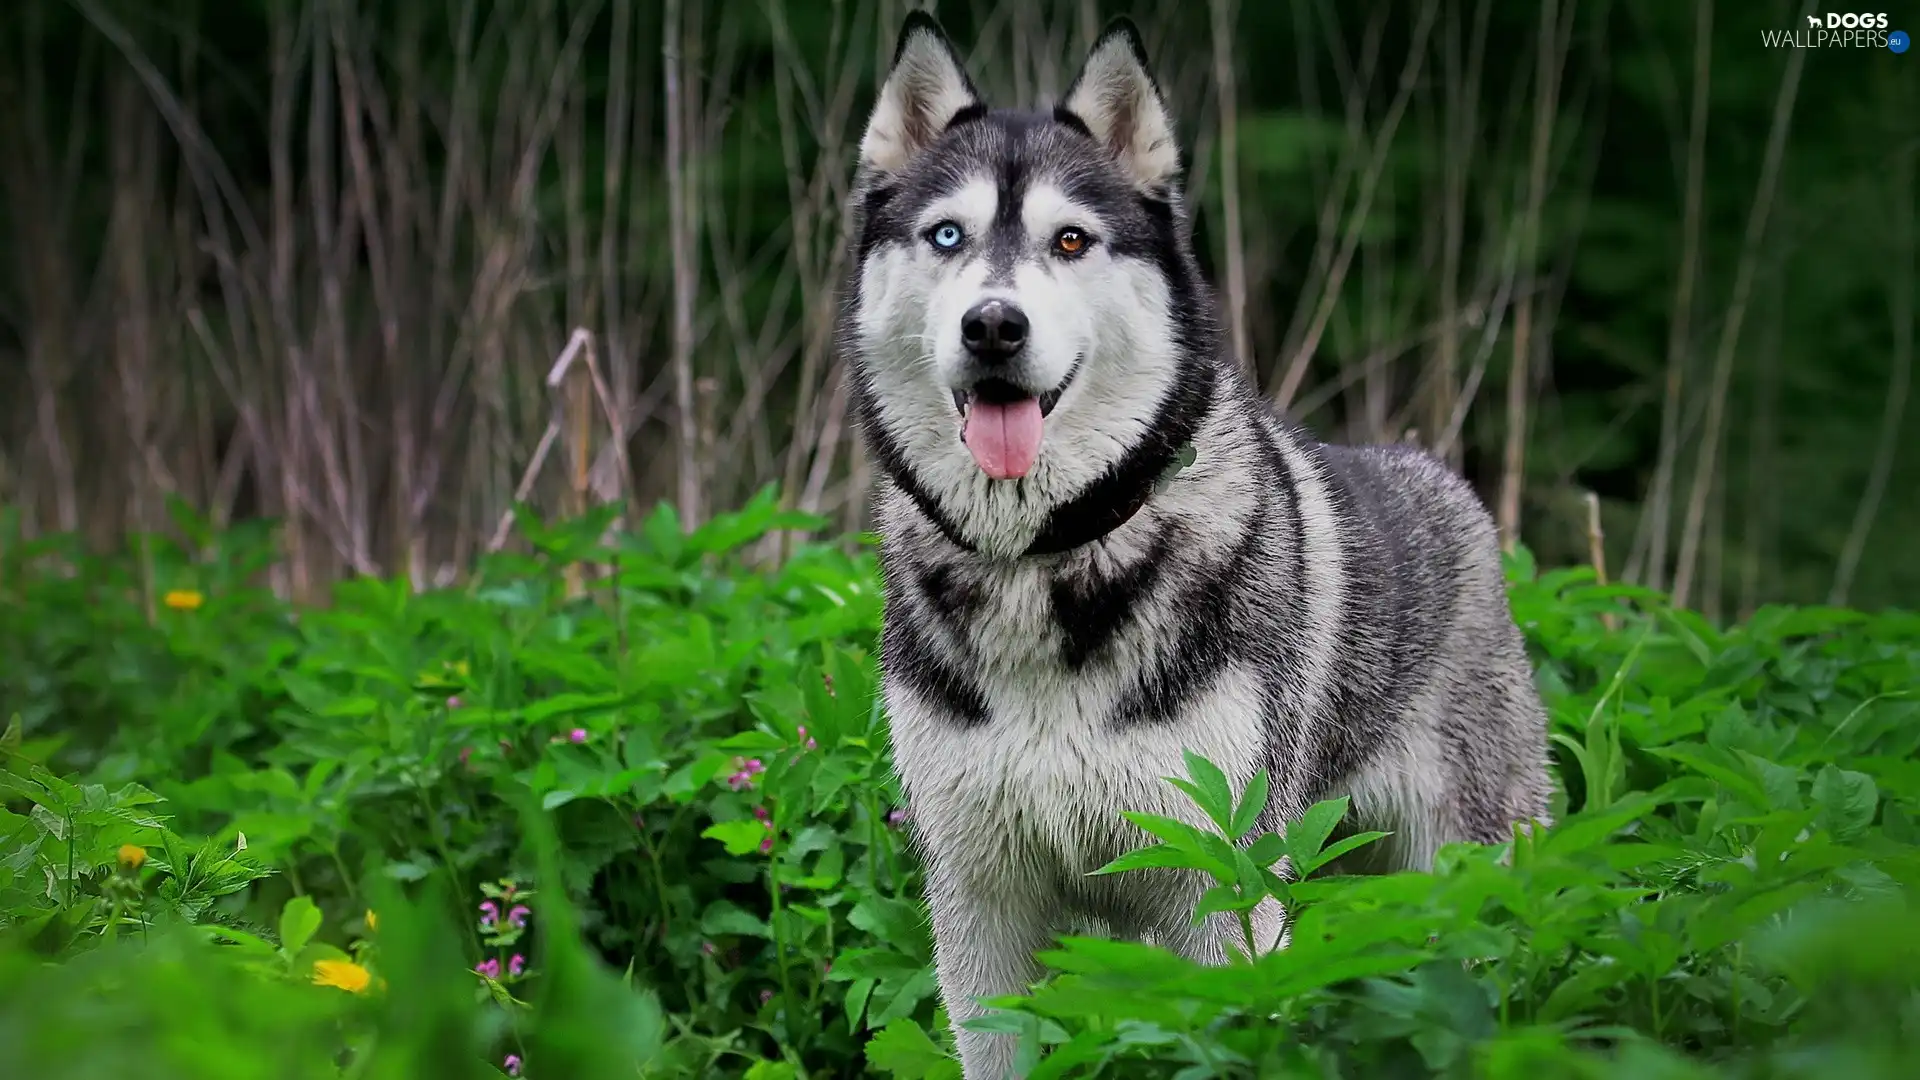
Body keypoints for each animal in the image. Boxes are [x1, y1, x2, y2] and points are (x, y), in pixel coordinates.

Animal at [837, 12, 1543, 1068]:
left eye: (1071, 239)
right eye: (946, 236)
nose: (994, 324)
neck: (1044, 558)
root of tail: (1450, 488)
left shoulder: (1223, 887)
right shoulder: (980, 898)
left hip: (1466, 866)